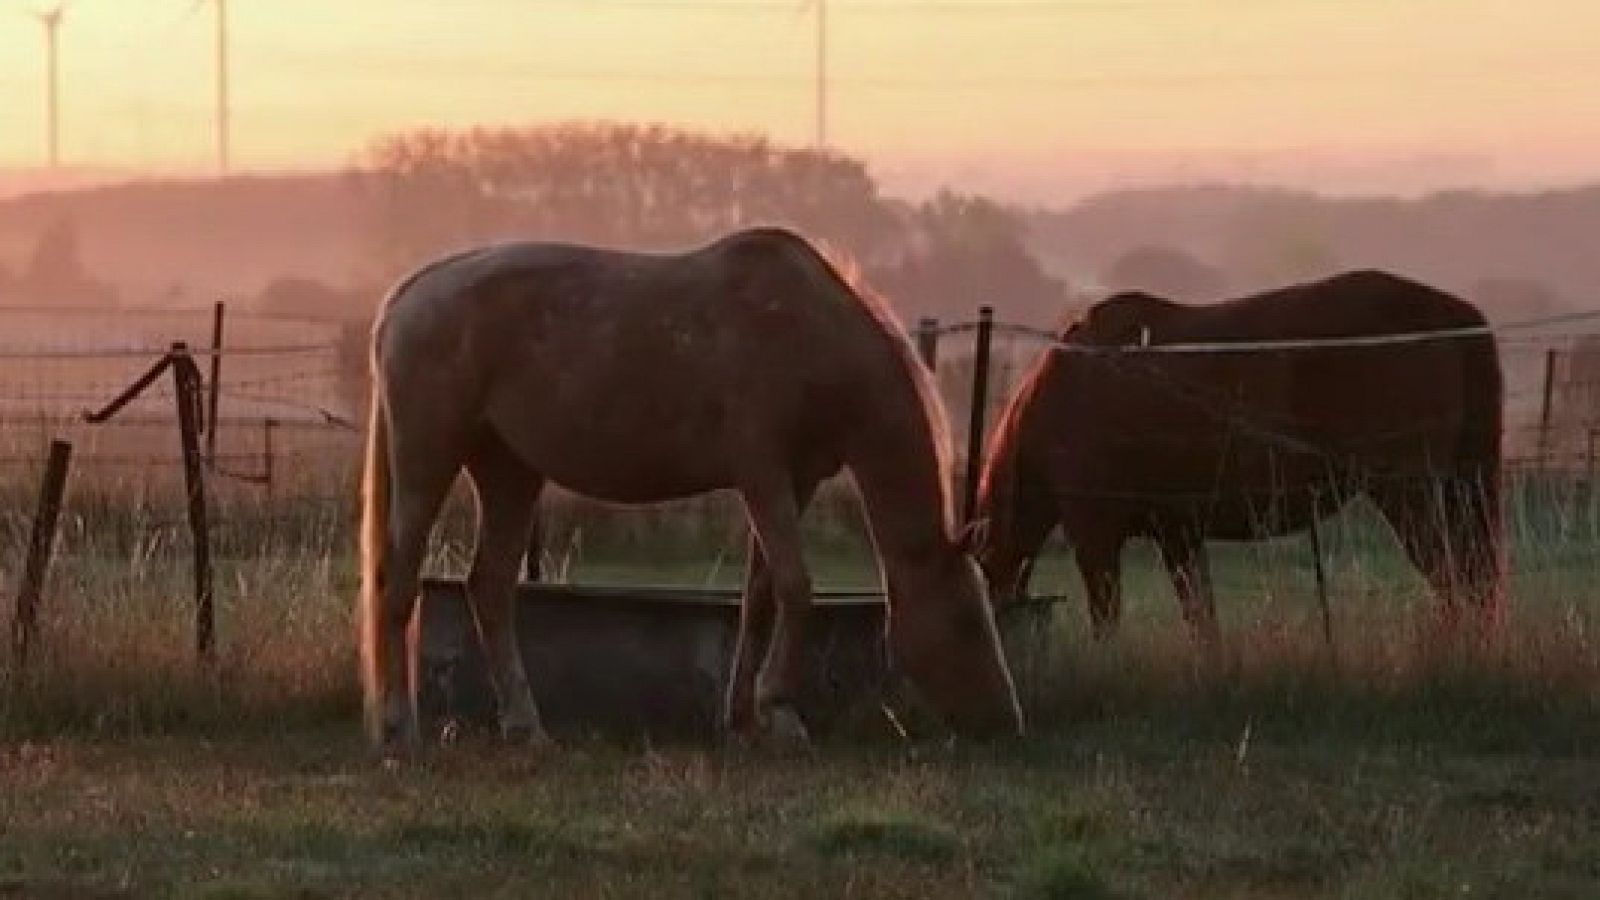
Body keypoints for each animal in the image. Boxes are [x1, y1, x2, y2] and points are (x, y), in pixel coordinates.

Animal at [360, 226, 1023, 753]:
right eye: (968, 620)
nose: (1006, 723)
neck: (808, 332)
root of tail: (406, 297)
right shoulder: (763, 475)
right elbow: (796, 587)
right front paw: (782, 716)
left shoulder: (796, 481)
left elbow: (761, 597)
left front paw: (743, 720)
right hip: (428, 461)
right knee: (400, 582)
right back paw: (400, 730)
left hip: (508, 472)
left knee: (490, 589)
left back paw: (528, 729)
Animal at [973, 270, 1504, 645]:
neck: (1071, 387)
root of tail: (1448, 313)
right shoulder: (1179, 535)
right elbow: (1202, 621)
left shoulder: (1095, 535)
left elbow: (1107, 619)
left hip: (1408, 496)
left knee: (1455, 581)